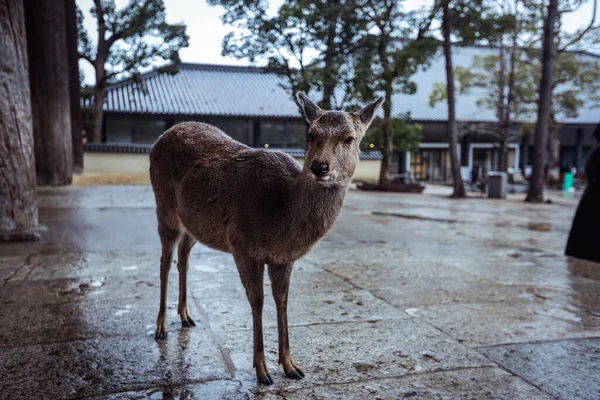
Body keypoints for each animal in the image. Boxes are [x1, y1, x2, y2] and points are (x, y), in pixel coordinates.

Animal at [150, 92, 384, 382]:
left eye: (349, 138)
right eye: (311, 134)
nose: (320, 166)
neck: (280, 217)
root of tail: (160, 138)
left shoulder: (284, 258)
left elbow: (282, 300)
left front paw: (291, 365)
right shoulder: (242, 245)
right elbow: (258, 301)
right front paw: (262, 370)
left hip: (193, 224)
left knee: (183, 255)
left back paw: (186, 316)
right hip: (164, 206)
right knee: (164, 260)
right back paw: (161, 328)